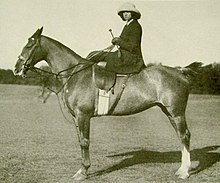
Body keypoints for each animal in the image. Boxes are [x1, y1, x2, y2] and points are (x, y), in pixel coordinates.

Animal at [13, 26, 199, 180]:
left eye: (29, 45)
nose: (16, 68)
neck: (76, 73)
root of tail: (180, 71)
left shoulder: (83, 116)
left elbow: (85, 142)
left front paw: (83, 171)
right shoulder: (76, 117)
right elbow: (80, 141)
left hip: (176, 112)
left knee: (185, 135)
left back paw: (184, 172)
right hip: (168, 112)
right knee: (181, 136)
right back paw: (181, 169)